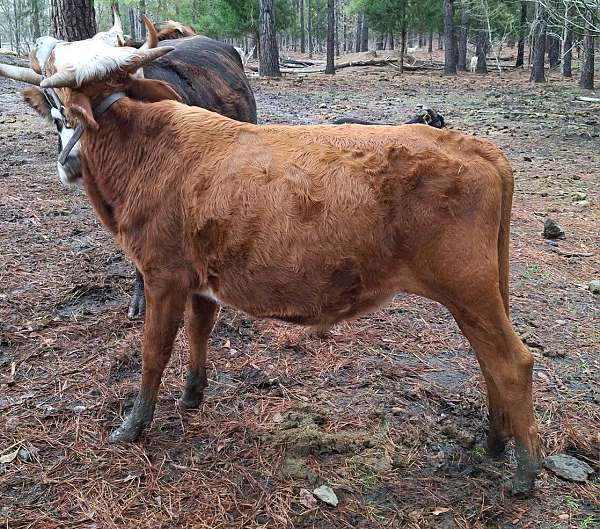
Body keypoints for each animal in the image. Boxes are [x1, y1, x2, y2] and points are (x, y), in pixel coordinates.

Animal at [0, 38, 540, 496]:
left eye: (65, 106)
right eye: (52, 109)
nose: (67, 165)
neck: (146, 151)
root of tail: (475, 145)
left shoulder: (161, 274)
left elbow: (153, 351)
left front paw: (133, 425)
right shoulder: (200, 280)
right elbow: (199, 332)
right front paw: (192, 395)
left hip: (467, 287)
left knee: (513, 362)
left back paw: (526, 471)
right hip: (483, 292)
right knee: (489, 363)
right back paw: (495, 443)